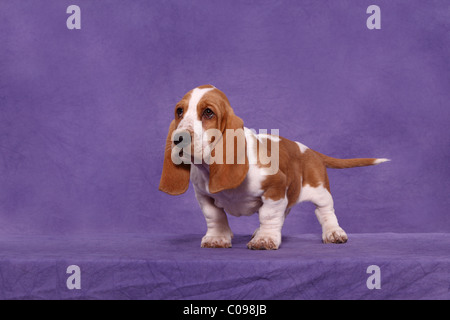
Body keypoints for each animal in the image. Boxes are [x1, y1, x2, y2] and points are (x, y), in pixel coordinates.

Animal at [160, 85, 388, 250]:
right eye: (179, 111)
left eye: (208, 113)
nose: (178, 139)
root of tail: (310, 150)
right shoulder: (203, 196)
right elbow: (214, 217)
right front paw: (217, 238)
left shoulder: (276, 188)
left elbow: (268, 215)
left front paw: (265, 239)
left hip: (320, 190)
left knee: (326, 212)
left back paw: (334, 233)